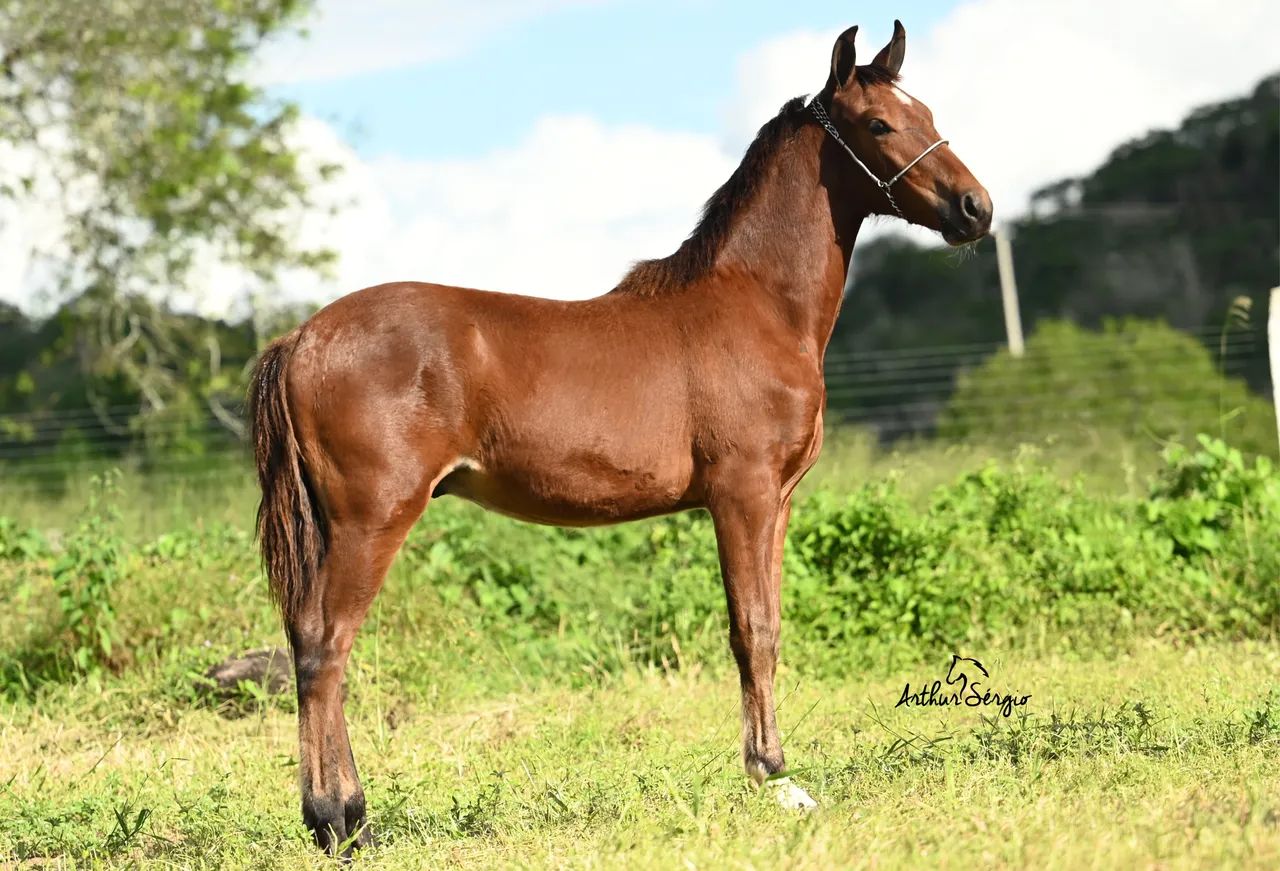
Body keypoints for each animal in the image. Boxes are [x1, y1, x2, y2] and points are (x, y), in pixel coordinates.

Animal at [249, 20, 991, 855]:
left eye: (926, 111)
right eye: (878, 124)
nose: (976, 208)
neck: (756, 307)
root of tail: (302, 339)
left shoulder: (779, 501)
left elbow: (770, 626)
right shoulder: (741, 495)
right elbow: (750, 629)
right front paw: (773, 777)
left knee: (311, 642)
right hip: (370, 519)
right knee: (326, 647)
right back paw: (340, 821)